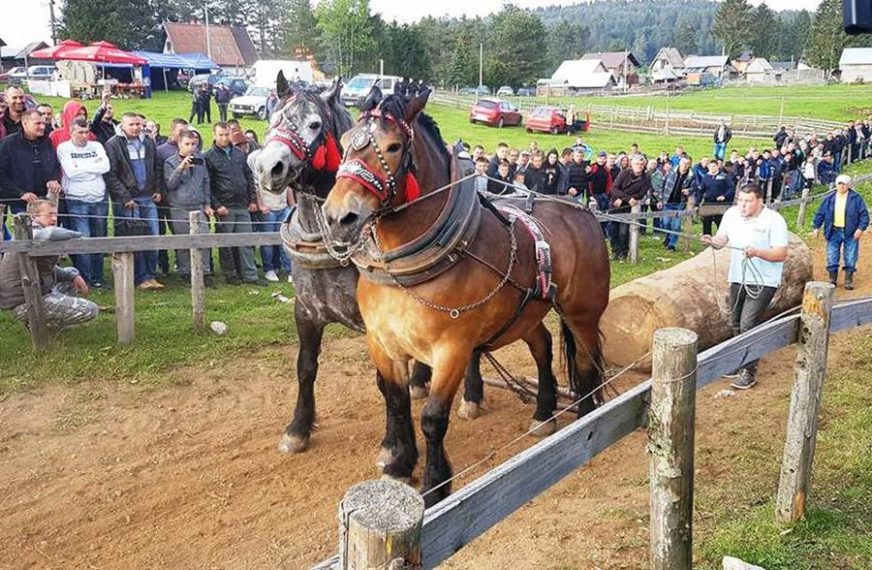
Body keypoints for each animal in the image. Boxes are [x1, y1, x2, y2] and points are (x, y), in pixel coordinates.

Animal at [316, 86, 608, 504]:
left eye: (392, 146)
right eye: (343, 144)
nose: (339, 217)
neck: (406, 271)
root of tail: (583, 213)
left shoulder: (451, 349)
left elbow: (432, 418)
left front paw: (435, 484)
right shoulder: (382, 343)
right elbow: (396, 402)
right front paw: (399, 464)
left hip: (582, 311)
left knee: (586, 361)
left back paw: (585, 416)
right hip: (525, 313)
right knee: (543, 346)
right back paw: (543, 413)